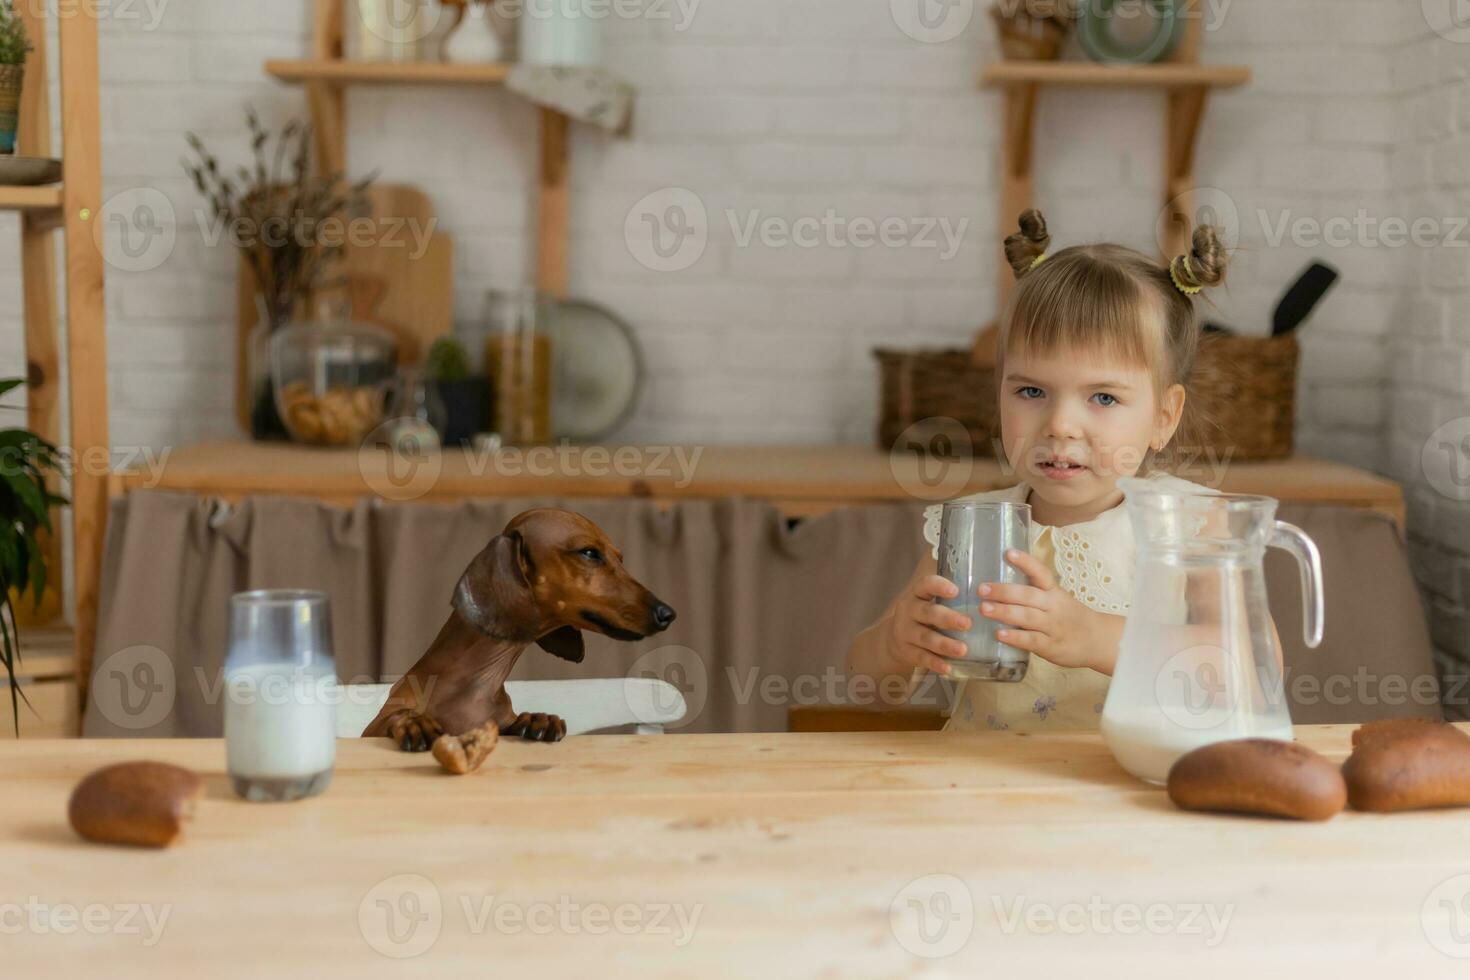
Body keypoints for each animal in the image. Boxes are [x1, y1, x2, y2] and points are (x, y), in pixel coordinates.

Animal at [364, 511, 673, 746]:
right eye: (589, 552)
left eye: (620, 558)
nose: (667, 613)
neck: (475, 682)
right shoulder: (373, 728)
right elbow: (394, 719)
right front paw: (413, 722)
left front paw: (537, 719)